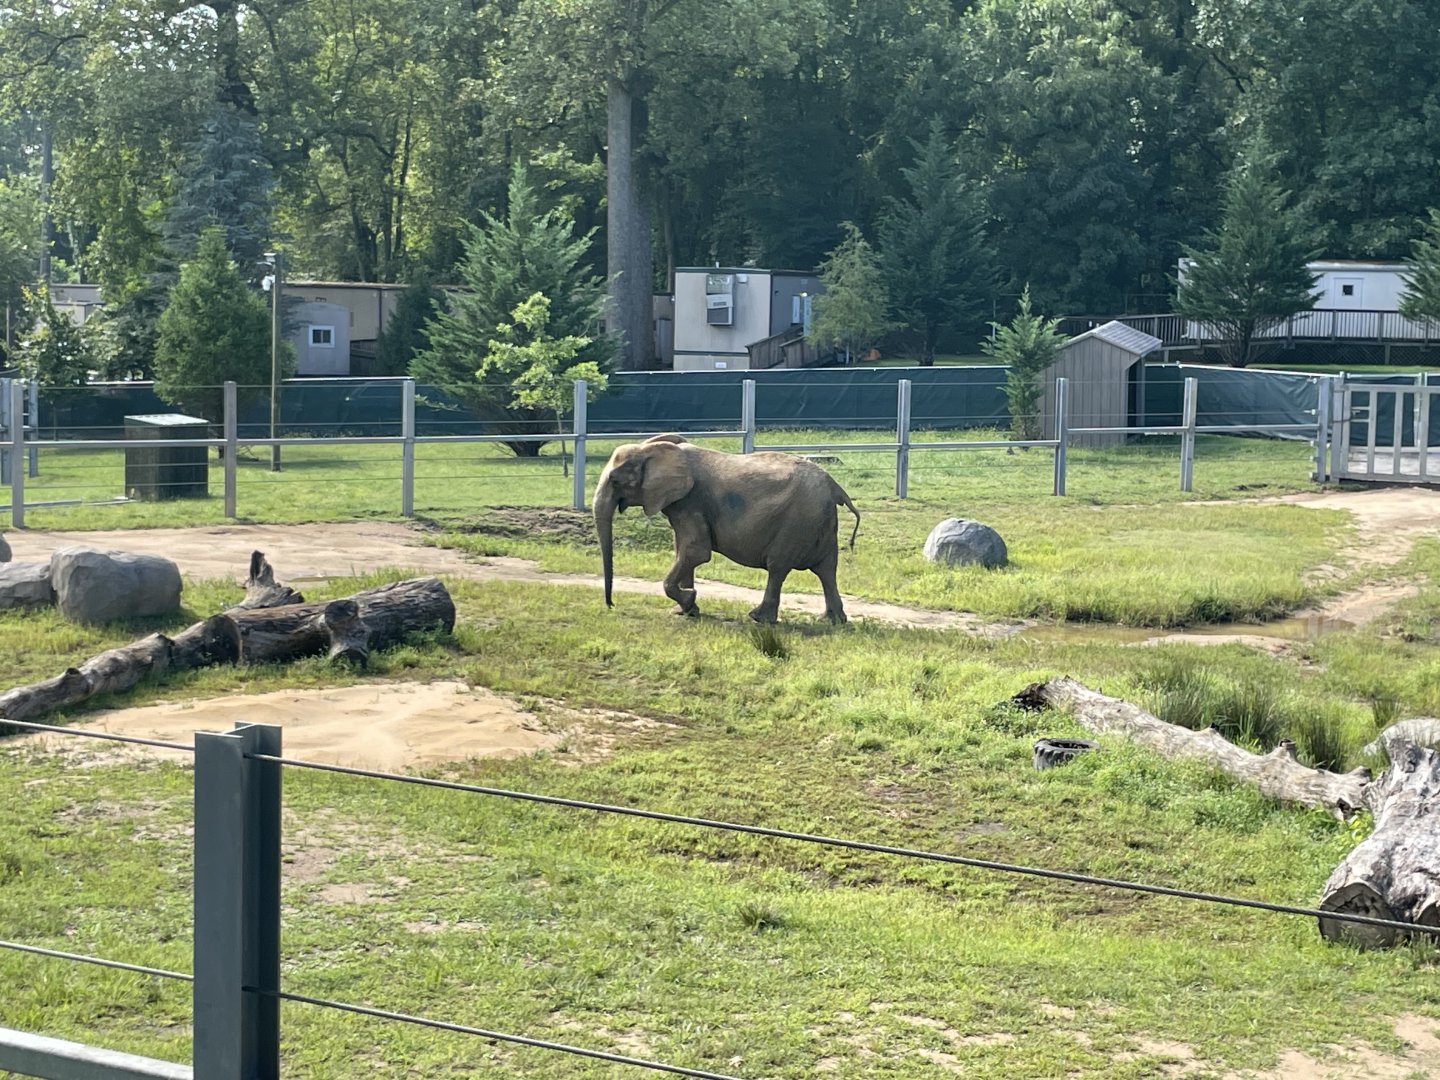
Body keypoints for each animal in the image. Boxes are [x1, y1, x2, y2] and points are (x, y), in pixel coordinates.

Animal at [594, 434, 861, 624]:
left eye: (614, 480)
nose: (611, 605)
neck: (651, 451)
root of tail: (835, 486)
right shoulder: (682, 504)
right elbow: (683, 550)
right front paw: (685, 610)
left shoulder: (691, 501)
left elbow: (695, 551)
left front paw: (689, 600)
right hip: (819, 522)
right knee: (826, 569)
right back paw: (832, 621)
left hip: (797, 522)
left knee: (778, 567)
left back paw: (758, 618)